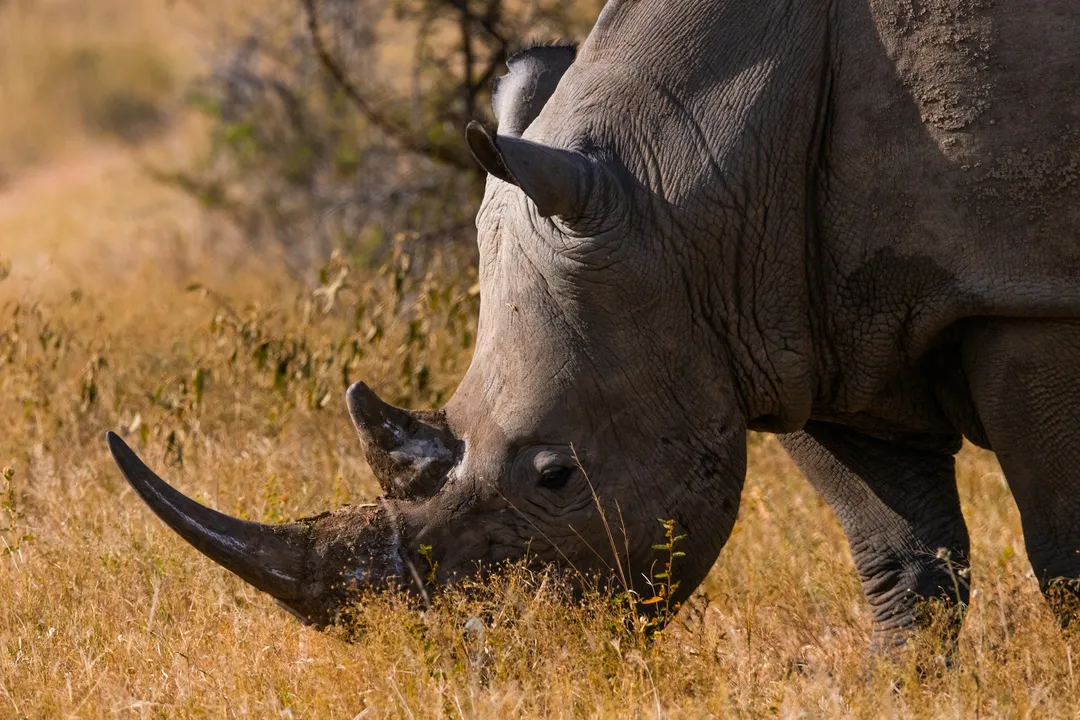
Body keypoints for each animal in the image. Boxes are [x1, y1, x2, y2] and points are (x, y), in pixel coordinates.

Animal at [108, 0, 1080, 650]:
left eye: (556, 475)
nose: (474, 655)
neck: (689, 186)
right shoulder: (793, 327)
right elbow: (902, 562)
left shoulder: (1027, 296)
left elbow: (1062, 549)